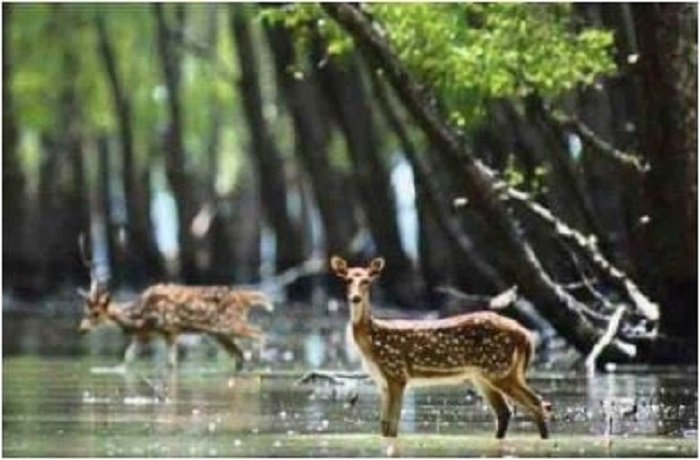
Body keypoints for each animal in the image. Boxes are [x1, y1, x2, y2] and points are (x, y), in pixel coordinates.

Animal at [78, 237, 272, 370]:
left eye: (96, 313)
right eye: (84, 310)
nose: (82, 329)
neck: (140, 315)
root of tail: (246, 297)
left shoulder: (170, 329)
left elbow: (171, 364)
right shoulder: (145, 335)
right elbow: (127, 359)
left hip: (230, 323)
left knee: (259, 332)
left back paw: (258, 359)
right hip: (219, 333)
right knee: (239, 355)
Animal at [330, 256, 548, 440]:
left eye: (367, 280)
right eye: (348, 280)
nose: (355, 298)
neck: (372, 340)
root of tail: (524, 334)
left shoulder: (397, 374)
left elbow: (392, 426)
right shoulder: (382, 381)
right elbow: (384, 426)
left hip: (500, 368)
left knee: (537, 403)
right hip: (484, 375)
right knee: (506, 411)